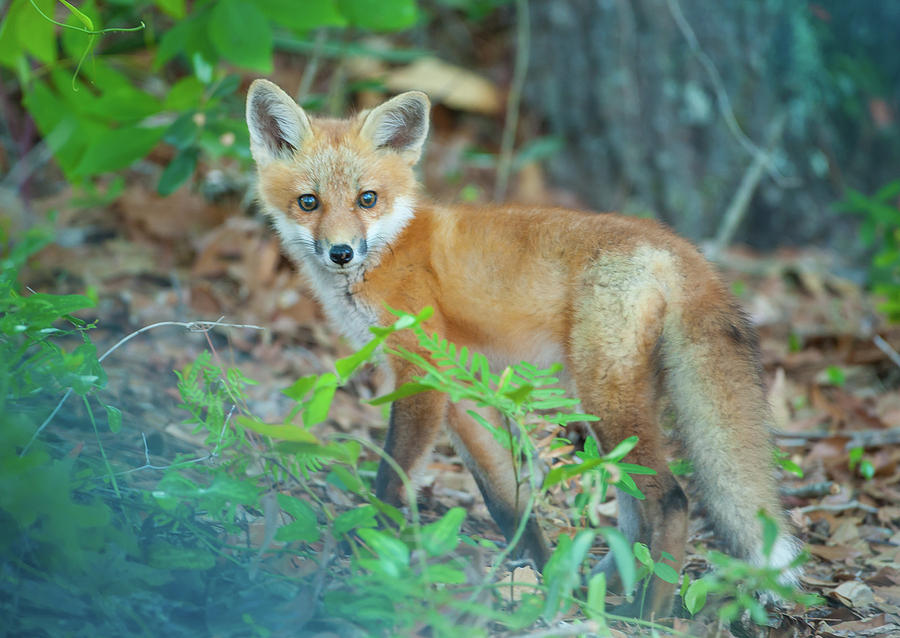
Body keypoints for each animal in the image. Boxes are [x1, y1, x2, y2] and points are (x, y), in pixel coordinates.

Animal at [244, 77, 800, 616]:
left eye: (367, 199)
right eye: (309, 202)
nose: (341, 252)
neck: (390, 250)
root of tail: (678, 246)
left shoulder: (422, 372)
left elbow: (392, 481)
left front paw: (370, 557)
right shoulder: (459, 389)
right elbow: (506, 499)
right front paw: (541, 574)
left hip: (606, 397)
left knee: (671, 501)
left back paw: (650, 614)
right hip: (611, 409)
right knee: (633, 514)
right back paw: (603, 589)